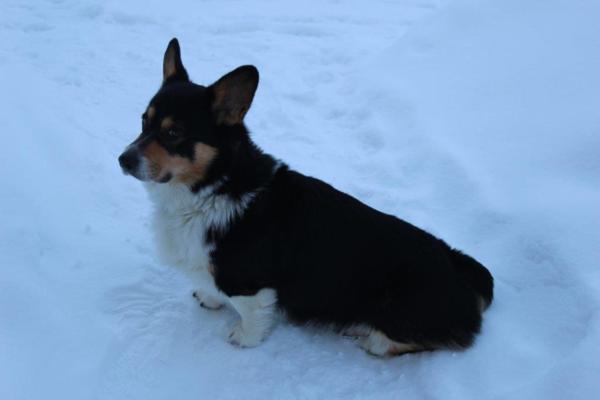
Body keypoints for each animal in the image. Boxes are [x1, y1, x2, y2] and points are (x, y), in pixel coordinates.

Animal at [118, 38, 492, 356]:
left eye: (173, 132)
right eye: (143, 121)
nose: (123, 160)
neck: (211, 188)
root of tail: (458, 269)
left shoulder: (251, 283)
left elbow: (251, 313)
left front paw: (243, 338)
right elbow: (212, 288)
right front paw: (209, 298)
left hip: (397, 307)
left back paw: (366, 334)